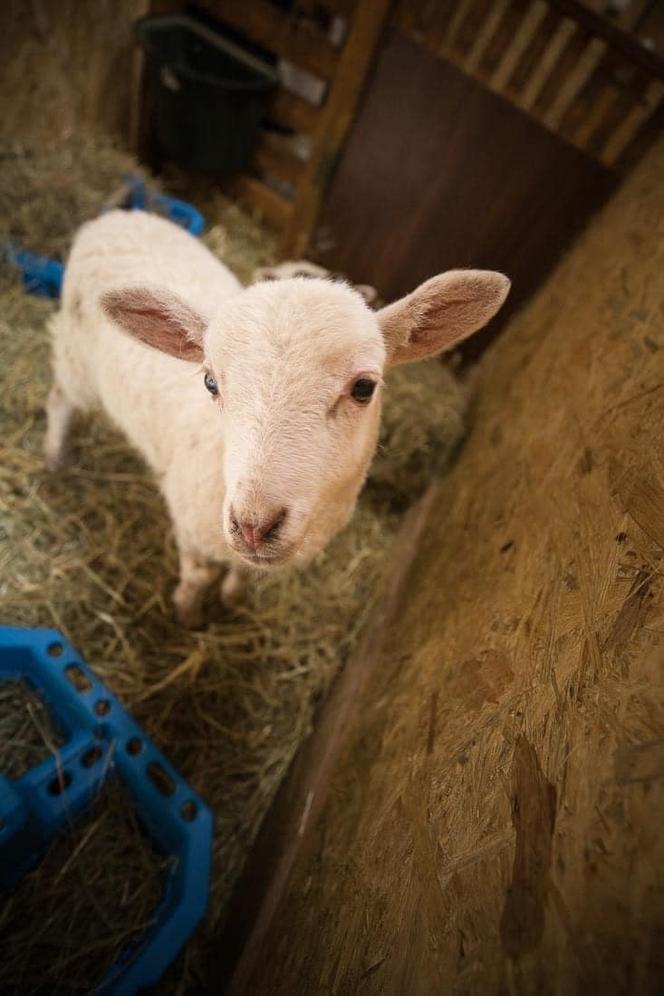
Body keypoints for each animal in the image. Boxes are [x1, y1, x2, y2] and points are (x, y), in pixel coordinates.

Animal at [44, 211, 510, 628]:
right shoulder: (191, 522)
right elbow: (198, 577)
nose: (253, 527)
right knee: (60, 398)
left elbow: (243, 571)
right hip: (77, 359)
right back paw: (55, 455)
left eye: (364, 387)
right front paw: (188, 616)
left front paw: (234, 599)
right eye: (211, 382)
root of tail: (117, 216)